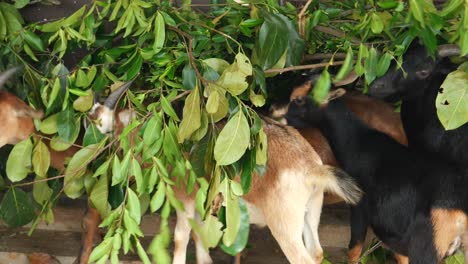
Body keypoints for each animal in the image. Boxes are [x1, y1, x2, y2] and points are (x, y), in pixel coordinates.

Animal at [286, 89, 468, 262]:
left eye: (300, 100)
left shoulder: (358, 205)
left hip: (426, 245)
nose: (284, 118)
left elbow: (354, 249)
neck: (360, 144)